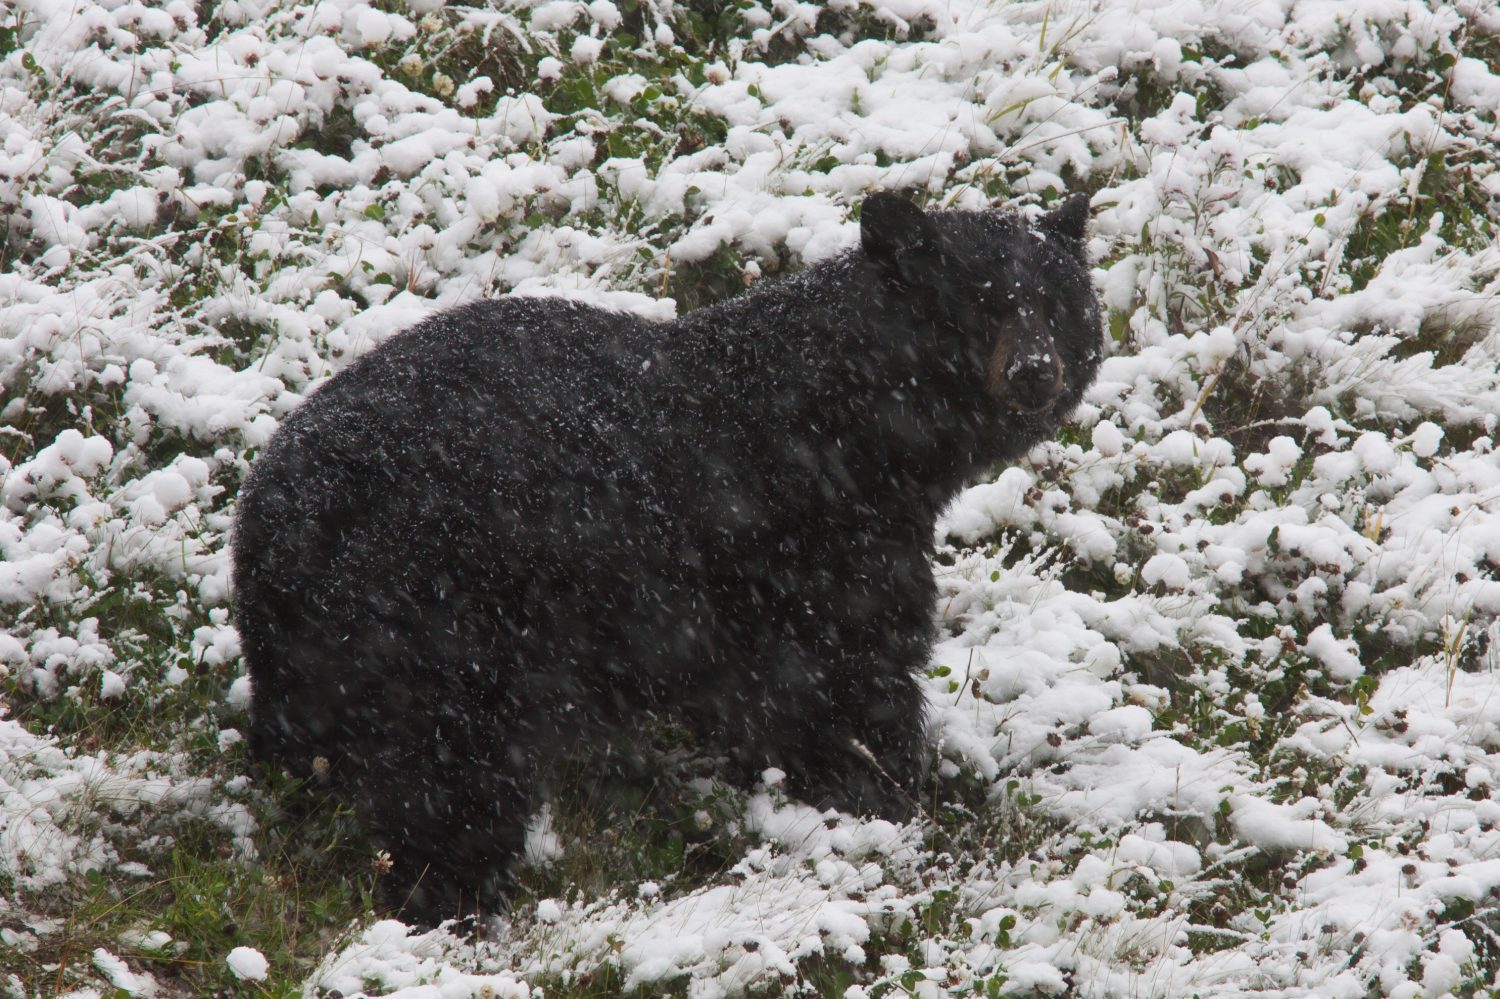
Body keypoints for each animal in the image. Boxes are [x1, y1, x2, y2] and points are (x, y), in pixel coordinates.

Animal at [230, 191, 1104, 927]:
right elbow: (842, 677)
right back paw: (451, 901)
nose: (1034, 371)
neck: (852, 427)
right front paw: (881, 798)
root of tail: (263, 532)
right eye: (977, 304)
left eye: (1057, 306)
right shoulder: (809, 545)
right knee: (448, 780)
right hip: (432, 624)